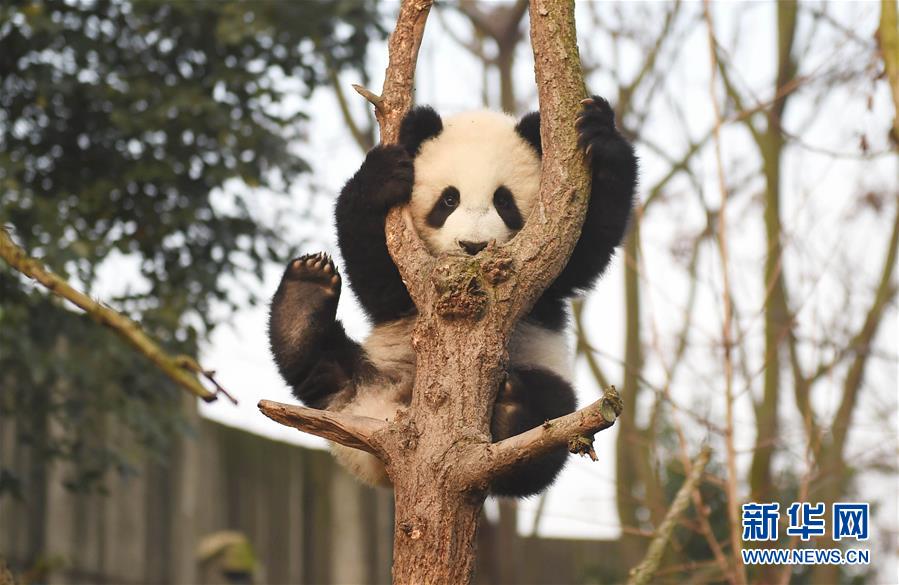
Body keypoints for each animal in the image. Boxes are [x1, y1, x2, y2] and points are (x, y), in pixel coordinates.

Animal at [270, 93, 636, 496]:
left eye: (504, 201)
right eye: (448, 200)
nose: (472, 246)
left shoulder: (546, 275)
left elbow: (586, 248)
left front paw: (600, 134)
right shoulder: (408, 283)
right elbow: (377, 281)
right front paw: (382, 177)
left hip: (543, 376)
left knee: (548, 423)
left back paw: (512, 413)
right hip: (369, 369)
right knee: (320, 370)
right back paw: (303, 299)